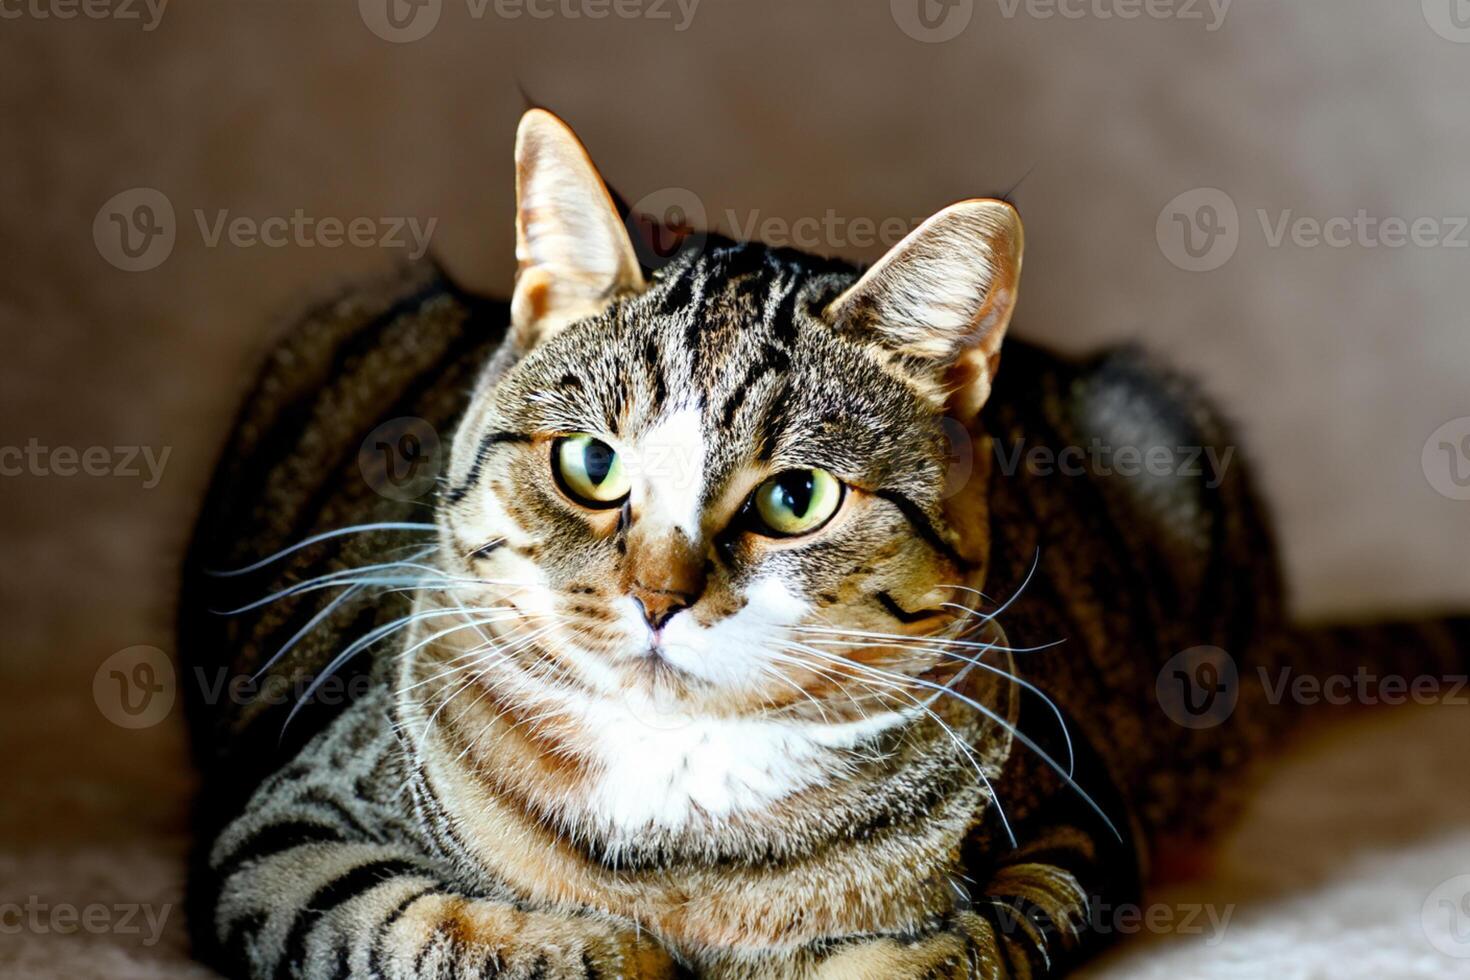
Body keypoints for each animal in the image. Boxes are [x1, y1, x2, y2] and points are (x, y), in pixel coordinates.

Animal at [174, 110, 1470, 975]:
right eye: (591, 466)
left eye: (796, 497)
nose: (658, 595)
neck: (678, 822)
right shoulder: (287, 828)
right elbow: (409, 920)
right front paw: (607, 947)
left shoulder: (1075, 828)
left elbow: (966, 941)